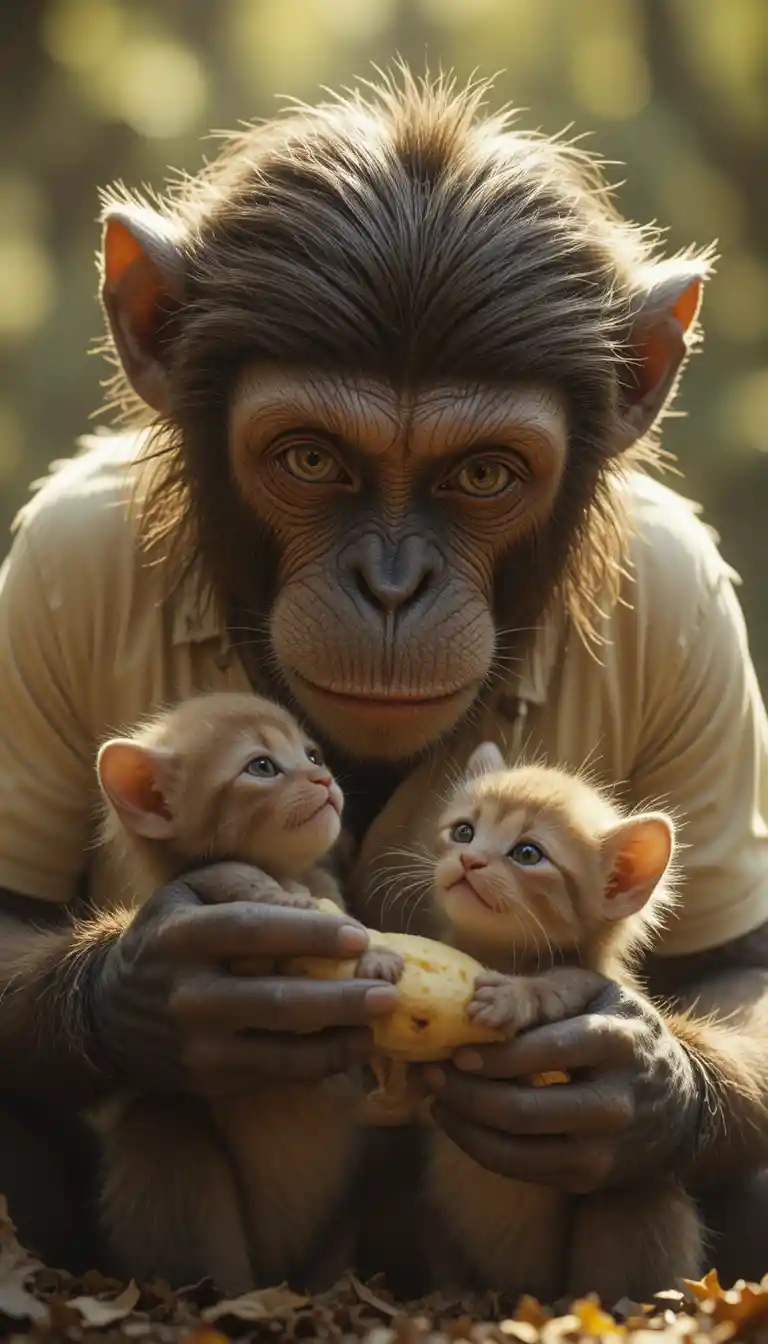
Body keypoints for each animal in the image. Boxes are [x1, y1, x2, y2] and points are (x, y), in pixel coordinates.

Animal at [93, 690, 403, 1292]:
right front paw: (350, 945)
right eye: (261, 766)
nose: (323, 778)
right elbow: (259, 896)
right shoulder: (227, 896)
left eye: (311, 754)